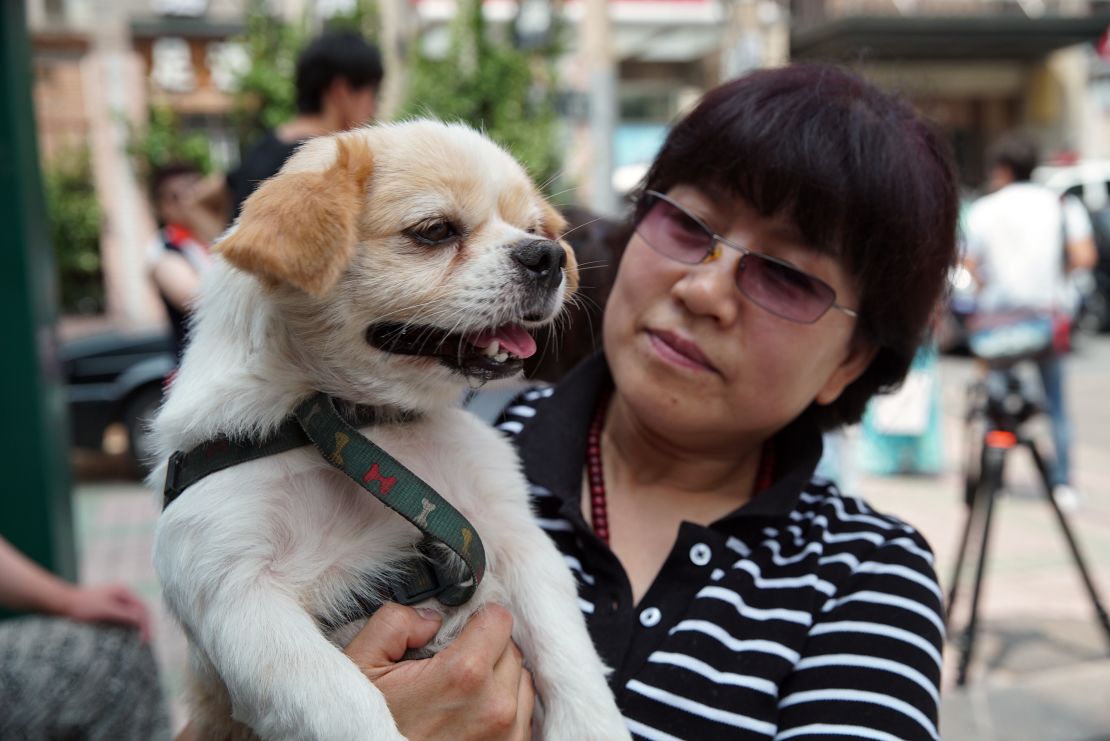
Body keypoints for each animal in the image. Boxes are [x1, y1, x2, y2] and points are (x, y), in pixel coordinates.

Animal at [152, 118, 630, 736]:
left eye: (531, 230)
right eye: (435, 231)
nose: (548, 254)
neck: (362, 424)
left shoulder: (518, 541)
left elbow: (569, 655)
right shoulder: (237, 591)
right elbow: (342, 702)